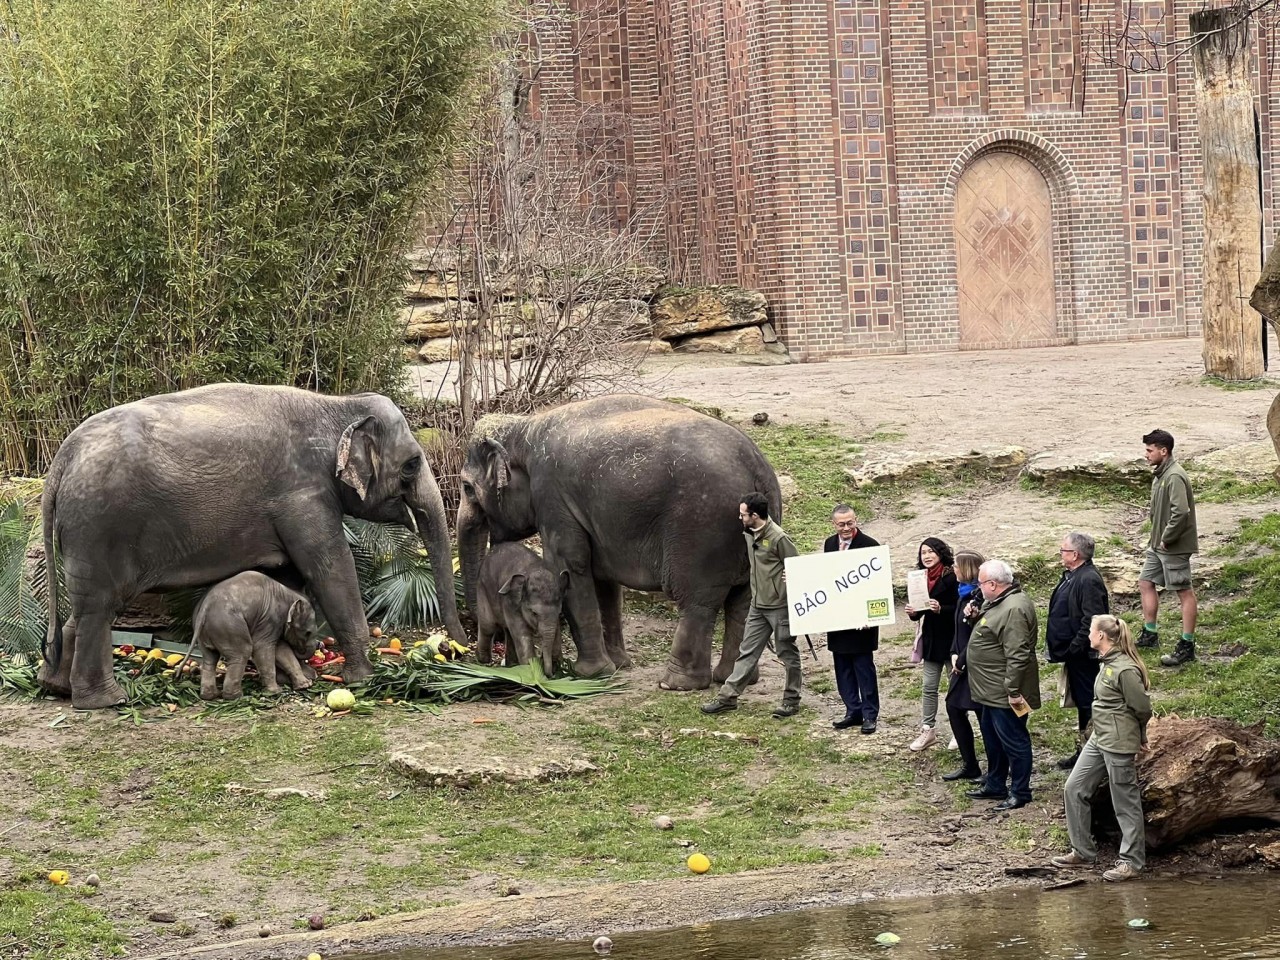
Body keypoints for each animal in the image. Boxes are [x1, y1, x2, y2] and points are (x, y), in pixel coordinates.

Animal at [194, 571, 319, 700]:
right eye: (308, 633)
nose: (319, 644)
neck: (289, 593)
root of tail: (205, 608)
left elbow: (282, 650)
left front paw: (305, 685)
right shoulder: (270, 620)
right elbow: (263, 648)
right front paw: (275, 692)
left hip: (208, 632)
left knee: (209, 657)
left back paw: (210, 695)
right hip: (227, 626)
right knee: (242, 652)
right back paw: (236, 697)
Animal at [476, 542, 568, 675]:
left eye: (559, 613)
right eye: (534, 613)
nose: (550, 674)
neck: (534, 569)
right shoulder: (511, 602)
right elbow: (523, 636)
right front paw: (534, 672)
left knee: (507, 631)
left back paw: (511, 665)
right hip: (482, 591)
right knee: (488, 626)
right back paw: (483, 659)